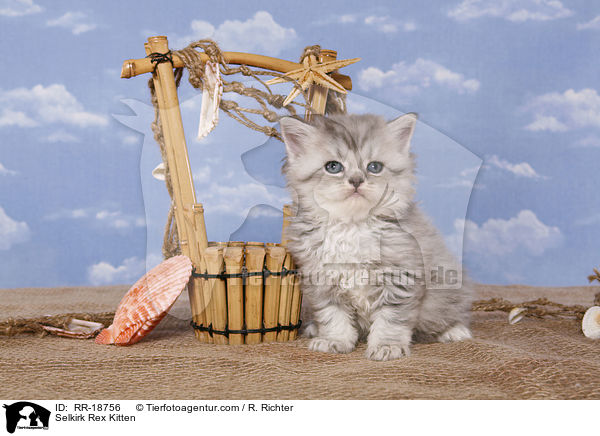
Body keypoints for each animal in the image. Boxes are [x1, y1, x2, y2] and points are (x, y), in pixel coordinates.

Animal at [280, 112, 474, 362]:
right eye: (333, 167)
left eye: (374, 167)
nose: (356, 180)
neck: (352, 225)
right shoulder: (321, 279)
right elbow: (333, 316)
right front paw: (335, 340)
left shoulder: (400, 278)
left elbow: (391, 319)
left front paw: (387, 346)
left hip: (444, 293)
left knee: (447, 314)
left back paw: (454, 331)